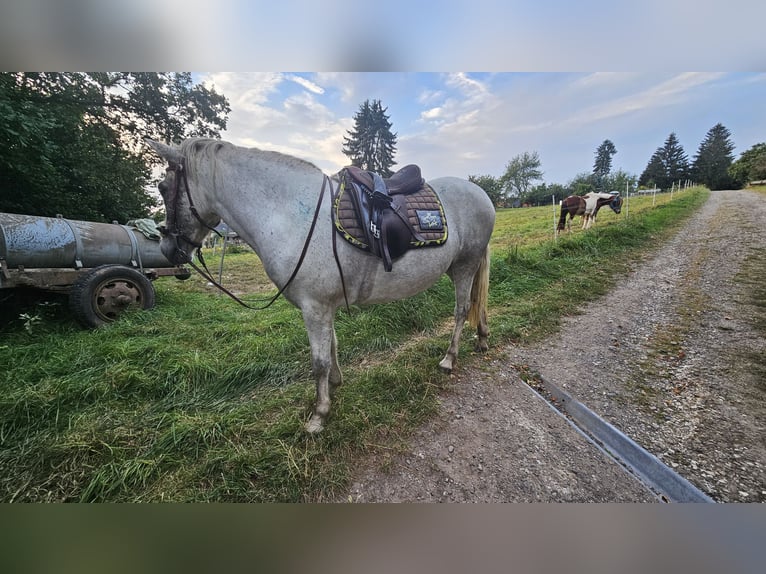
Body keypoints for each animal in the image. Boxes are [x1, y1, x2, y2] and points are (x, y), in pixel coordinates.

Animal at [146, 140, 496, 434]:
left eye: (163, 187)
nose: (166, 249)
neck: (289, 216)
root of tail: (481, 194)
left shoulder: (314, 308)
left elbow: (318, 362)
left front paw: (319, 414)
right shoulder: (324, 306)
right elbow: (332, 347)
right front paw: (336, 383)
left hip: (465, 265)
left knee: (462, 309)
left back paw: (449, 359)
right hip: (460, 267)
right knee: (478, 304)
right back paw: (482, 339)